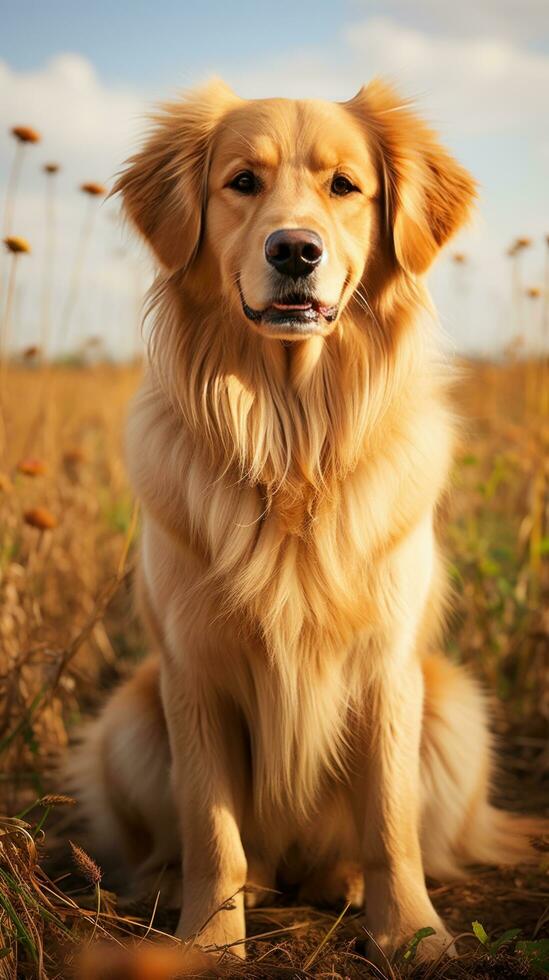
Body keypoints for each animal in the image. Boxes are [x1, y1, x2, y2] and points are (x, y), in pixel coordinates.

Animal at [70, 78, 540, 964]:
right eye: (242, 183)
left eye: (344, 187)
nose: (294, 251)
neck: (292, 440)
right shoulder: (191, 671)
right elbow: (212, 829)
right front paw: (208, 941)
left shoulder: (387, 669)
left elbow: (388, 822)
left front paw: (411, 933)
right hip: (129, 720)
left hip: (453, 711)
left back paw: (343, 883)